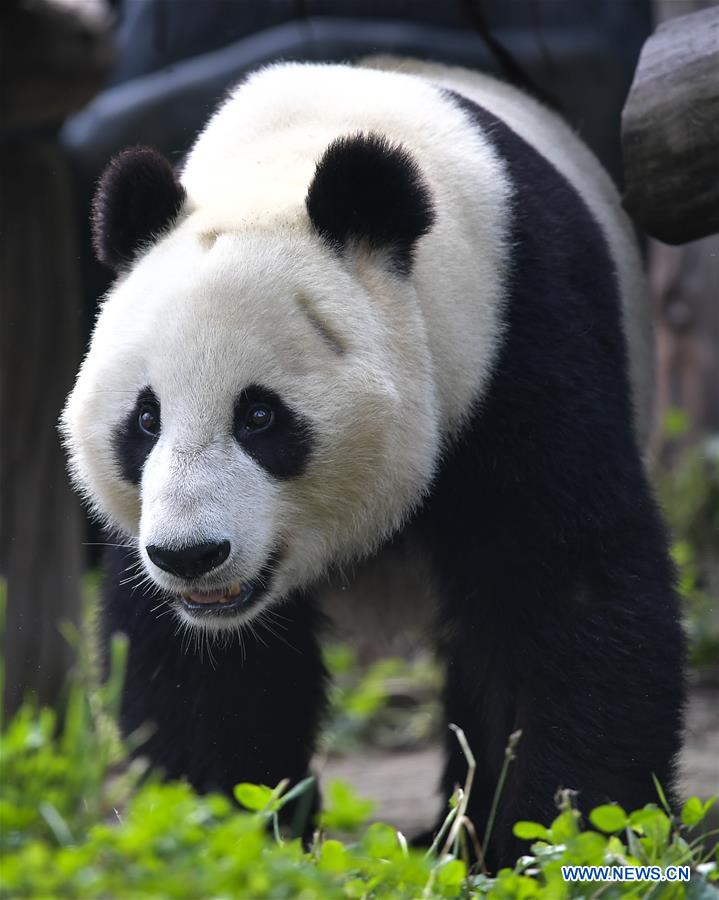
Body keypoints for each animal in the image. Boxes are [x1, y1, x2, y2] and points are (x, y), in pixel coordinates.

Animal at [61, 58, 685, 867]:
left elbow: (564, 590)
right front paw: (235, 837)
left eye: (259, 416)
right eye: (145, 420)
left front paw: (551, 838)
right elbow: (200, 672)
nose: (191, 556)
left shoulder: (521, 336)